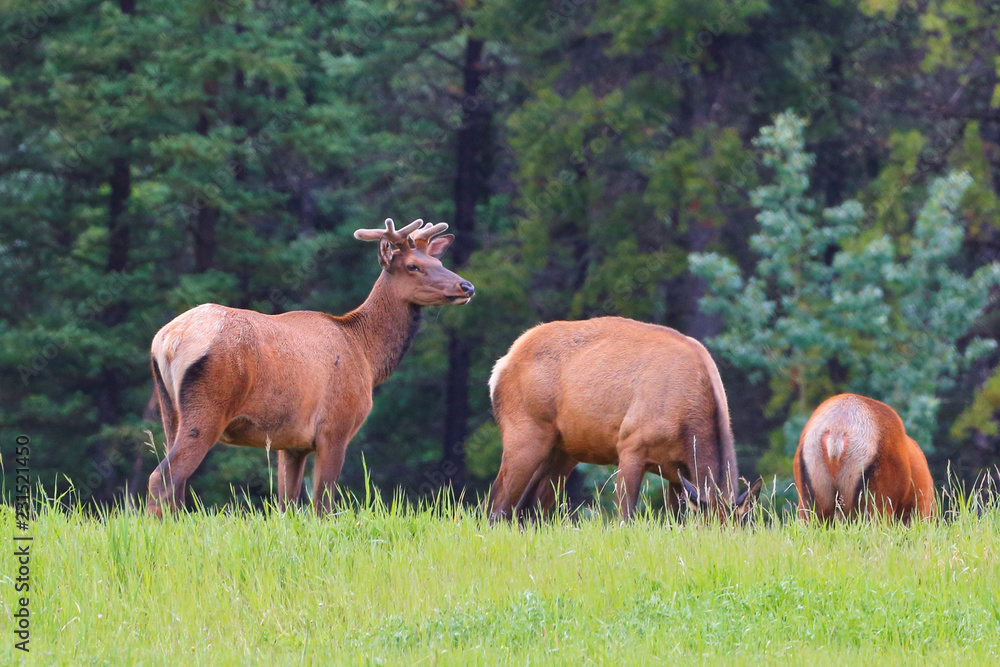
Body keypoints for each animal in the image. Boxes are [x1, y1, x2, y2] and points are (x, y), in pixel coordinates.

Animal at [147, 219, 475, 516]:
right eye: (413, 266)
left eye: (437, 260)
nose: (466, 286)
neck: (366, 356)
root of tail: (168, 339)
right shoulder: (336, 428)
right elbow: (322, 506)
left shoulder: (290, 442)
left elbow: (287, 506)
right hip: (209, 405)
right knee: (162, 477)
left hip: (169, 411)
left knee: (175, 484)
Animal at [487, 317, 762, 523]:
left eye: (736, 530)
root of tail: (501, 366)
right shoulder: (630, 444)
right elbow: (625, 515)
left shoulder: (677, 472)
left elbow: (675, 520)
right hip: (524, 431)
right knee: (497, 502)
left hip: (563, 450)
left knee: (527, 508)